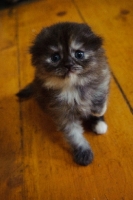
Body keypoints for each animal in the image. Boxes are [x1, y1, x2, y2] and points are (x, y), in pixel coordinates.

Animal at [17, 22, 111, 166]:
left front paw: (97, 111)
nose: (68, 65)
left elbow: (99, 95)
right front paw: (82, 151)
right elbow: (73, 134)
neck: (72, 87)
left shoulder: (102, 75)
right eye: (55, 57)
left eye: (79, 54)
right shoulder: (62, 113)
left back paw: (99, 124)